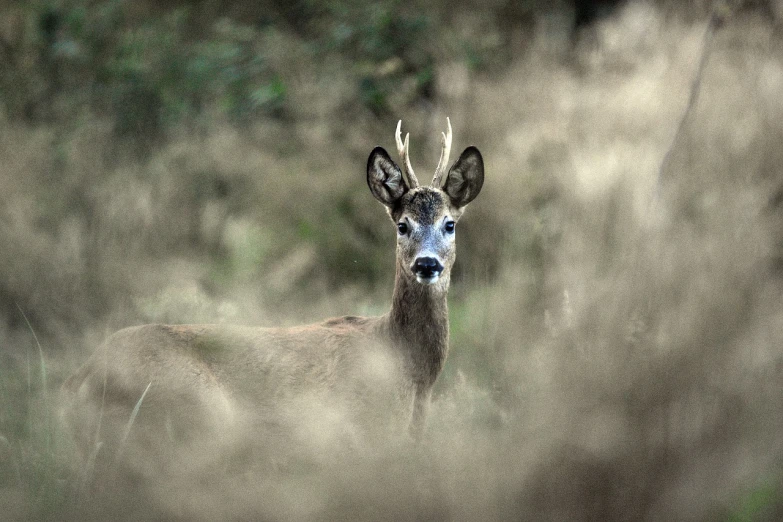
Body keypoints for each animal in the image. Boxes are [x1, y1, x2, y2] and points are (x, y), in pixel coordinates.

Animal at [62, 118, 484, 476]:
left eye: (449, 224)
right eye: (402, 225)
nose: (427, 263)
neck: (409, 367)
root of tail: (81, 380)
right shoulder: (360, 431)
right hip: (198, 409)